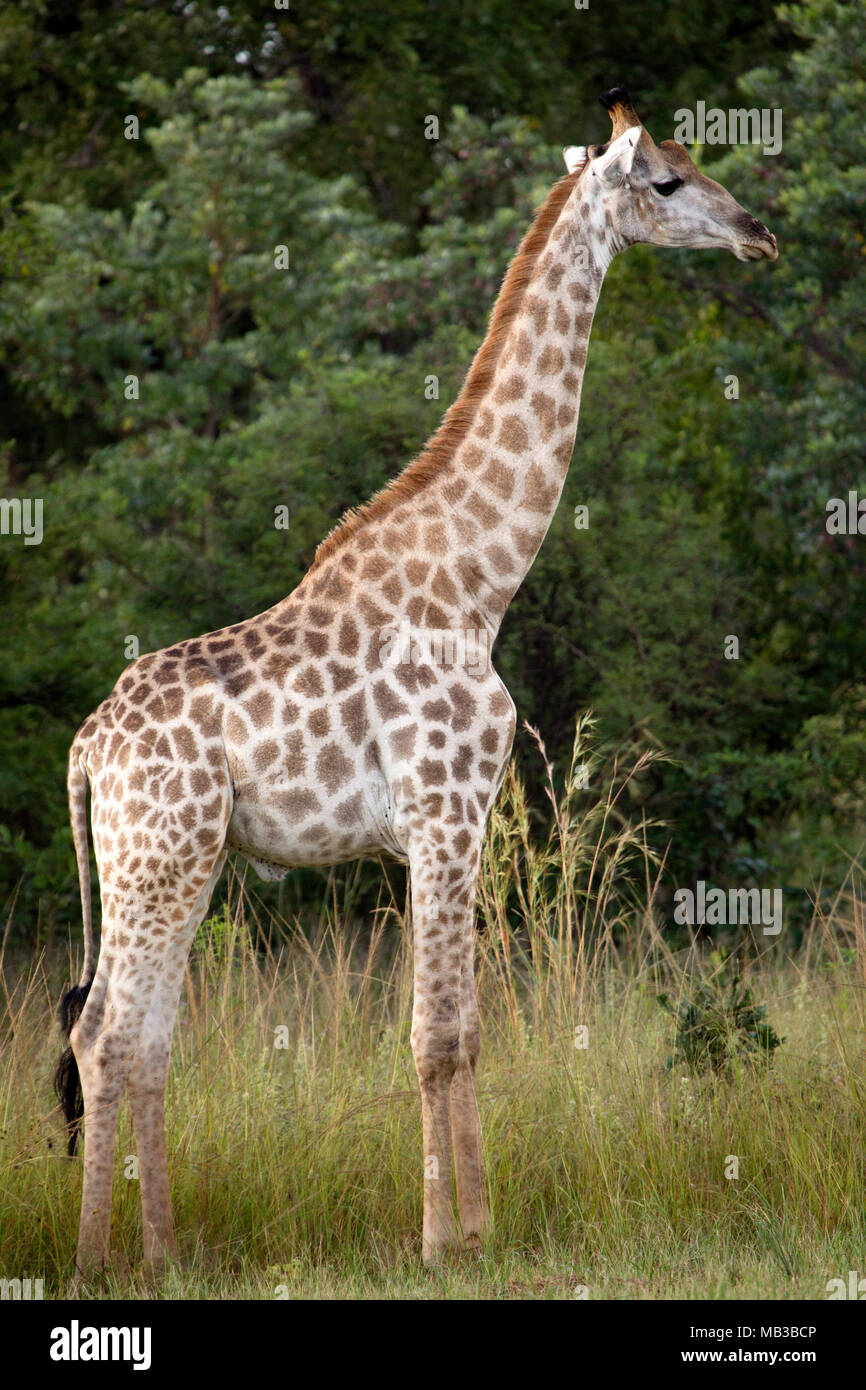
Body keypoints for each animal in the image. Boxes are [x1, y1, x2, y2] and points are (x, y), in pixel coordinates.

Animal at [55, 86, 778, 1273]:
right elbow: (434, 1033)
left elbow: (469, 1026)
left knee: (133, 1033)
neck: (480, 578)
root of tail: (83, 751)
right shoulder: (441, 814)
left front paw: (479, 1228)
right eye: (667, 180)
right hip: (158, 855)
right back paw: (97, 1260)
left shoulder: (457, 824)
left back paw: (156, 1255)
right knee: (108, 1032)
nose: (757, 231)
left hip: (169, 859)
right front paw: (443, 1241)